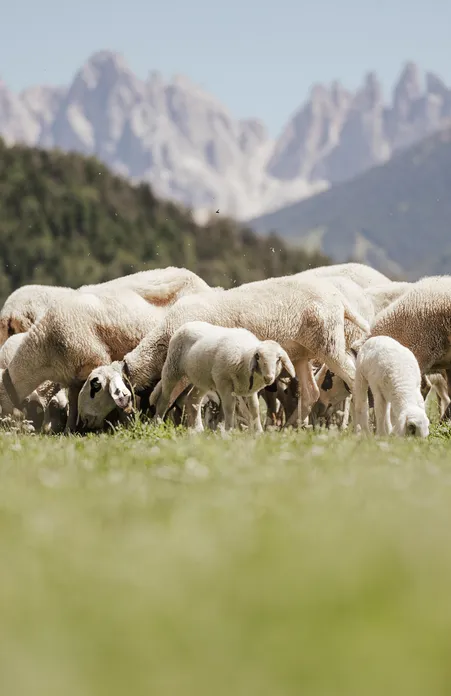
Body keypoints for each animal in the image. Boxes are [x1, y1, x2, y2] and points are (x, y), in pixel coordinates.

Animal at [151, 321, 295, 432]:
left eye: (278, 359)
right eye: (258, 356)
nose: (269, 378)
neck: (244, 358)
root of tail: (188, 323)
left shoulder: (250, 390)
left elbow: (255, 409)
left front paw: (258, 432)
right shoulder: (224, 383)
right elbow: (229, 408)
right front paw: (228, 431)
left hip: (202, 379)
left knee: (192, 399)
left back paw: (198, 430)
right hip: (172, 369)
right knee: (164, 399)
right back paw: (157, 424)